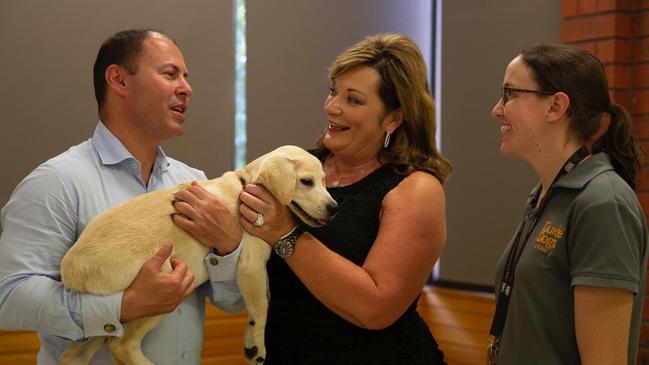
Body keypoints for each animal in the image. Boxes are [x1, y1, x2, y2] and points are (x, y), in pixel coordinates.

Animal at [59, 146, 340, 364]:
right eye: (306, 181)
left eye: (324, 180)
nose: (334, 208)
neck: (246, 186)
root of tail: (71, 267)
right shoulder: (251, 265)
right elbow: (261, 308)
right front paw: (256, 346)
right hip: (161, 290)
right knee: (122, 344)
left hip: (113, 312)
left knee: (77, 353)